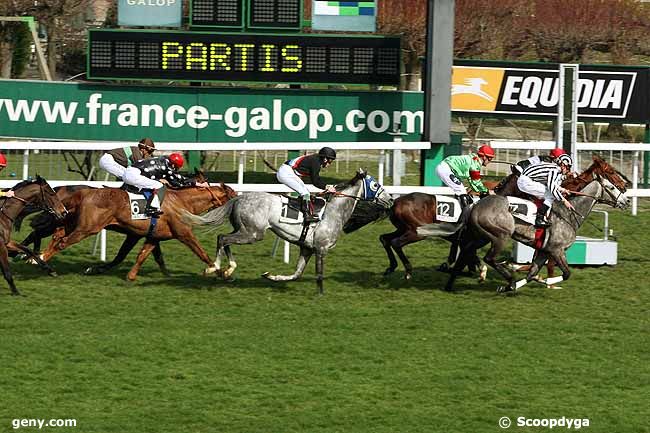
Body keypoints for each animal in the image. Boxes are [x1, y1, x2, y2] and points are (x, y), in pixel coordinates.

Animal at [38, 182, 235, 280]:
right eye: (234, 196)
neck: (183, 202)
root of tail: (84, 193)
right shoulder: (184, 234)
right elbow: (202, 253)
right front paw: (219, 271)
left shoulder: (153, 236)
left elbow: (142, 254)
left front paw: (131, 275)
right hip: (87, 228)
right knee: (62, 242)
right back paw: (43, 261)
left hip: (74, 223)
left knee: (57, 235)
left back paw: (39, 257)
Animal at [185, 168, 392, 294]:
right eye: (375, 185)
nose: (390, 199)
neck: (334, 211)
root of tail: (239, 198)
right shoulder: (321, 248)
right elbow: (319, 273)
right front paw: (321, 294)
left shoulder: (307, 248)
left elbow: (296, 274)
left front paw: (271, 276)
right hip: (253, 234)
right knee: (222, 238)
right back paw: (215, 267)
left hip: (243, 230)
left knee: (225, 240)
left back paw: (228, 270)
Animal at [420, 154, 628, 292]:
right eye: (611, 178)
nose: (626, 196)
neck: (567, 214)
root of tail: (476, 204)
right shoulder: (556, 250)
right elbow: (564, 273)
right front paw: (543, 282)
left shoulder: (544, 250)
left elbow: (532, 272)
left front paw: (525, 282)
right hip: (500, 236)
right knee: (487, 257)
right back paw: (504, 276)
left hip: (481, 236)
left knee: (466, 251)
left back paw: (456, 279)